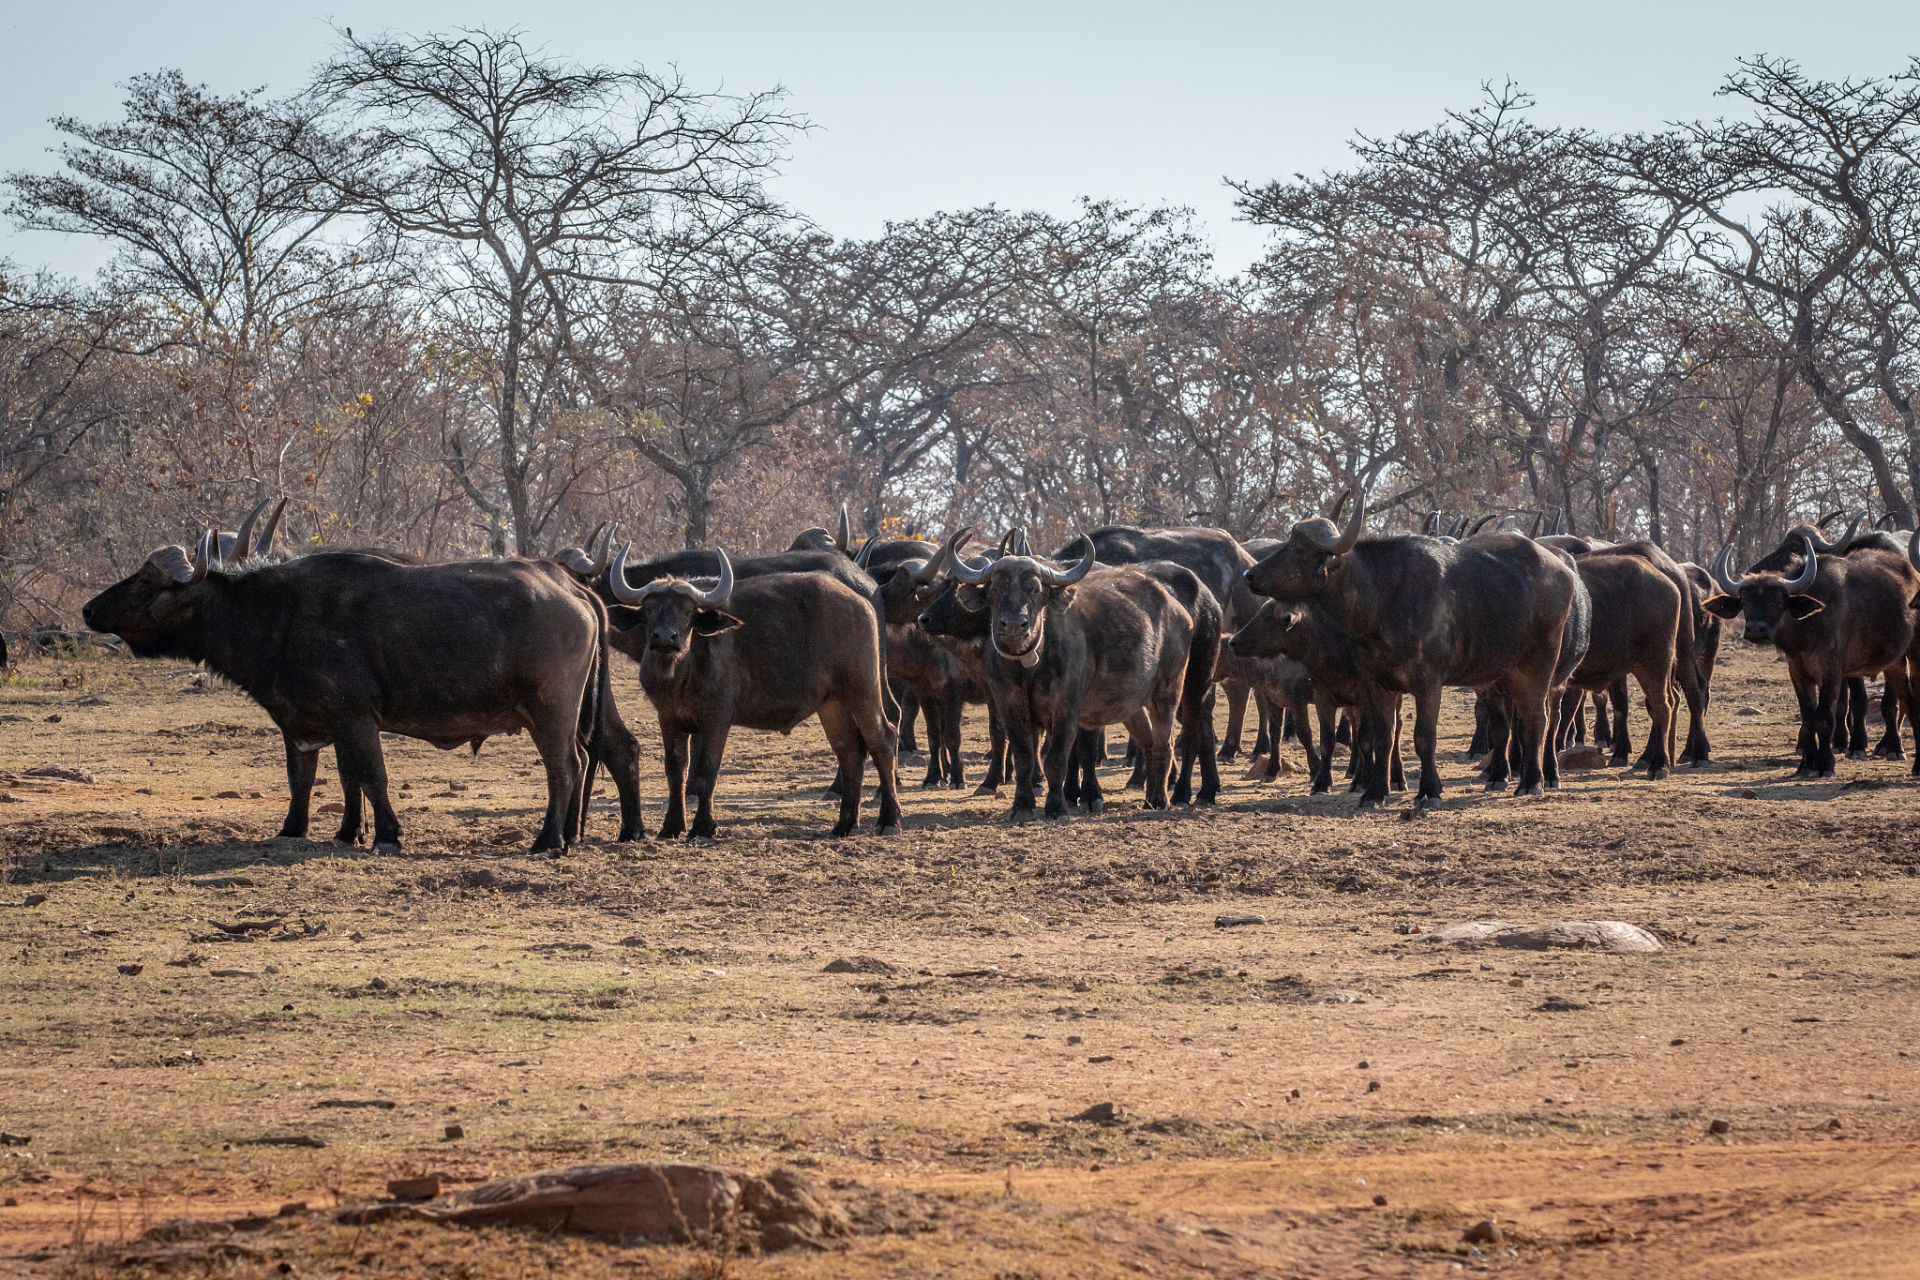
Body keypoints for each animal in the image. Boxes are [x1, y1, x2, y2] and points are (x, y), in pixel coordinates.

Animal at [86, 529, 610, 852]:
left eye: (147, 583)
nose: (89, 610)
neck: (279, 614)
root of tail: (571, 586)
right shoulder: (313, 724)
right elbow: (323, 779)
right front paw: (317, 831)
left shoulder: (356, 718)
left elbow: (372, 777)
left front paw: (387, 835)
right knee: (584, 760)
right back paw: (571, 836)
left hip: (551, 712)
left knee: (563, 767)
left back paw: (547, 841)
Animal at [602, 548, 902, 840]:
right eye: (649, 608)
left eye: (687, 610)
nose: (665, 637)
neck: (681, 674)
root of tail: (863, 602)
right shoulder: (668, 718)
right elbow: (675, 771)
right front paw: (672, 827)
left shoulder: (716, 719)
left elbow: (706, 772)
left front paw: (703, 827)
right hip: (832, 703)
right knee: (849, 749)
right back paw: (844, 824)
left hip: (863, 690)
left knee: (882, 740)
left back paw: (889, 820)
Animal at [1244, 485, 1574, 805]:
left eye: (1300, 549)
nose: (1249, 574)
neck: (1382, 601)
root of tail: (1564, 571)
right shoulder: (1377, 684)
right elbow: (1383, 738)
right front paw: (1374, 792)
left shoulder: (1429, 684)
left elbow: (1423, 738)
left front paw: (1429, 791)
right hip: (1506, 673)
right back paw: (1502, 778)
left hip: (1540, 663)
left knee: (1537, 717)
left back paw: (1532, 782)